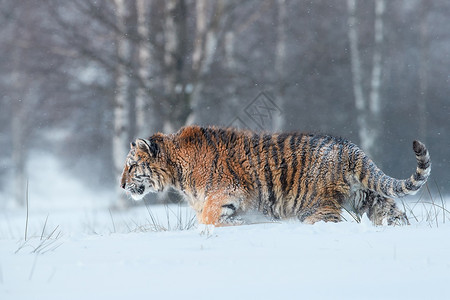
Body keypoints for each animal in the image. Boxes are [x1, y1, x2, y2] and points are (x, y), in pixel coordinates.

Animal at [119, 125, 428, 226]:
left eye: (131, 166)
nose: (121, 185)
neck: (175, 168)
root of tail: (349, 147)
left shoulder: (227, 192)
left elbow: (208, 220)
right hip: (369, 197)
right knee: (395, 214)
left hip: (316, 206)